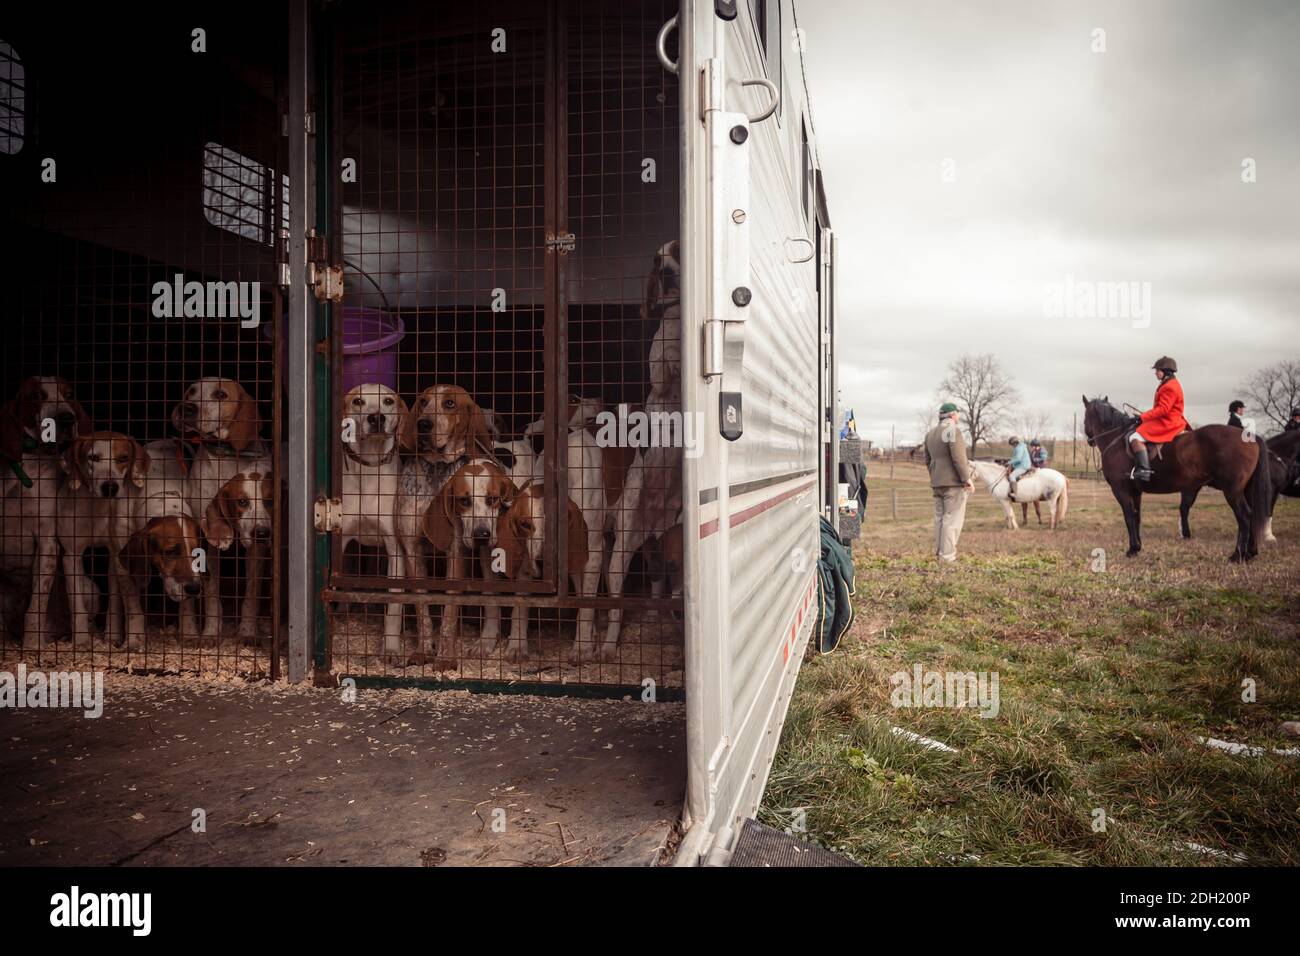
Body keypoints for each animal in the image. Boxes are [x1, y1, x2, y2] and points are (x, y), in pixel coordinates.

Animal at [1081, 395, 1274, 561]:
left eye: (1084, 417)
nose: (1090, 440)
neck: (1116, 440)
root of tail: (1251, 437)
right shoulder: (1136, 491)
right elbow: (1136, 517)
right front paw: (1138, 548)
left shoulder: (1120, 489)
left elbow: (1128, 517)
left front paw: (1132, 549)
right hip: (1245, 489)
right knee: (1252, 515)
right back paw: (1250, 553)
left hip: (1232, 491)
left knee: (1244, 516)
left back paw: (1237, 555)